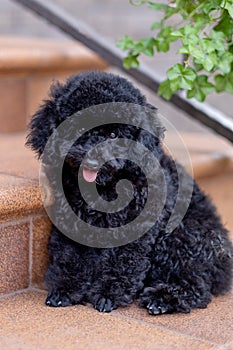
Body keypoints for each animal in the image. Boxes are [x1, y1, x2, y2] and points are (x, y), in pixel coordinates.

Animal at [26, 71, 232, 314]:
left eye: (114, 134)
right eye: (78, 128)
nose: (92, 161)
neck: (104, 189)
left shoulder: (137, 228)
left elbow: (124, 262)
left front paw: (108, 295)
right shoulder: (70, 222)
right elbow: (71, 257)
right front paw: (65, 290)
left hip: (179, 236)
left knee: (196, 285)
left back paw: (161, 299)